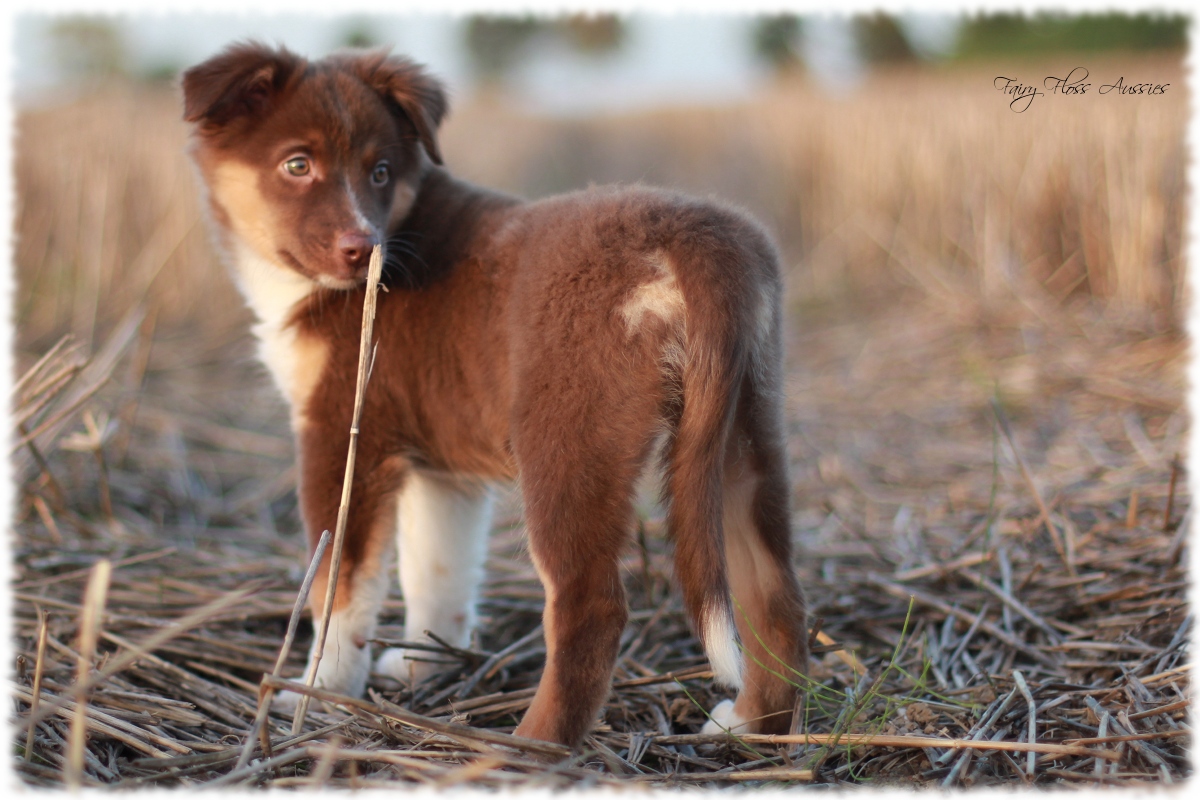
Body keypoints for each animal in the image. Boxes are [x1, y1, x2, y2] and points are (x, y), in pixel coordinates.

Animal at [182, 43, 811, 753]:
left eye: (379, 170)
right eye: (297, 164)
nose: (361, 250)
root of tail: (694, 244)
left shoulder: (343, 434)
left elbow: (339, 585)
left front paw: (318, 694)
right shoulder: (441, 471)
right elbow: (438, 572)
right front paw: (424, 664)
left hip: (569, 441)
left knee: (590, 604)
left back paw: (529, 745)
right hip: (741, 429)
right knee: (773, 588)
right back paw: (753, 726)